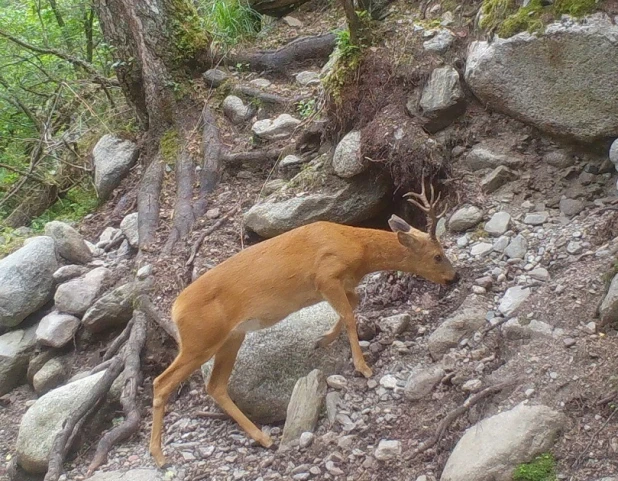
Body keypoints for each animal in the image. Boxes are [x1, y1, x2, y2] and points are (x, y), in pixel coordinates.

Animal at [149, 180, 458, 464]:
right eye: (437, 255)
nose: (455, 277)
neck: (356, 247)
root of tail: (175, 309)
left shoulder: (339, 284)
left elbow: (353, 305)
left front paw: (323, 340)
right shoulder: (326, 275)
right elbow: (349, 315)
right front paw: (363, 367)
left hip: (232, 338)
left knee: (215, 386)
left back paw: (263, 438)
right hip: (200, 339)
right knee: (161, 382)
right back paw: (159, 455)